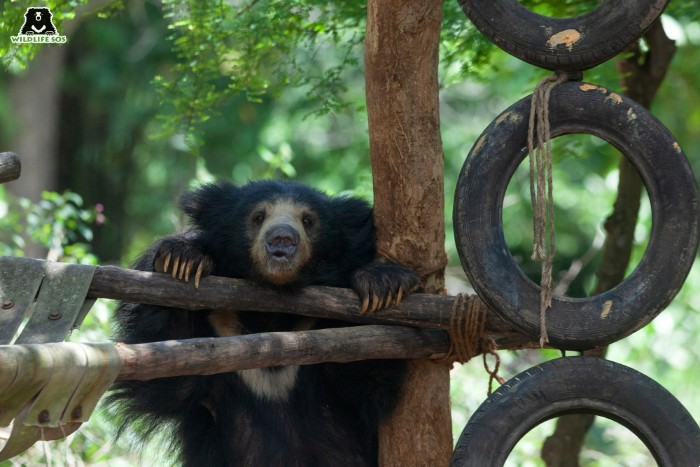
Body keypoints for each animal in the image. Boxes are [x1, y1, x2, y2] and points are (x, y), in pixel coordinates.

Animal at [106, 180, 418, 467]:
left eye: (308, 220)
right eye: (258, 216)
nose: (282, 239)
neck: (270, 316)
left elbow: (366, 372)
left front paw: (381, 284)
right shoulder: (216, 332)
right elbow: (167, 377)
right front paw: (183, 258)